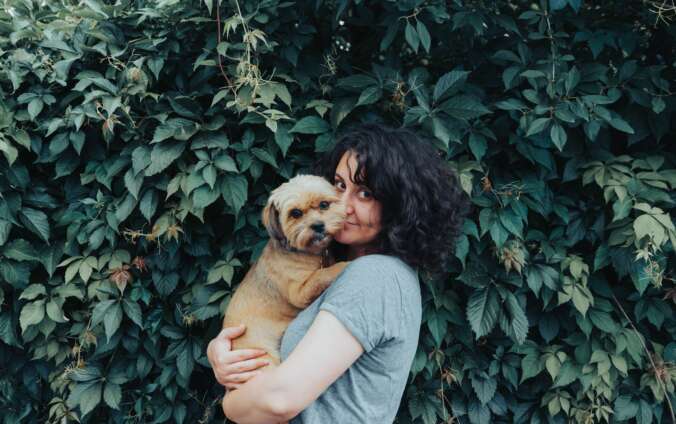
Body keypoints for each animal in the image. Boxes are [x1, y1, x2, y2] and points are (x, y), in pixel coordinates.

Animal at [223, 174, 348, 366]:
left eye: (324, 204)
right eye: (295, 213)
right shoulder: (299, 292)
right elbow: (322, 274)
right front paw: (346, 264)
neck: (308, 253)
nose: (318, 225)